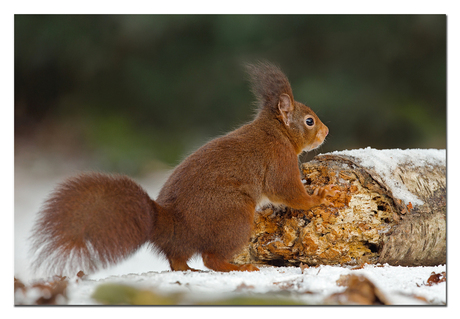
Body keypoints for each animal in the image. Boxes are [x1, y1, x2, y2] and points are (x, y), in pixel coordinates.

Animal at [30, 60, 336, 276]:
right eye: (309, 121)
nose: (327, 131)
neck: (277, 132)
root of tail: (175, 224)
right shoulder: (279, 160)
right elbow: (287, 191)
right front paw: (318, 198)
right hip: (234, 215)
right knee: (211, 258)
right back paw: (238, 267)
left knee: (177, 260)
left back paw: (188, 268)